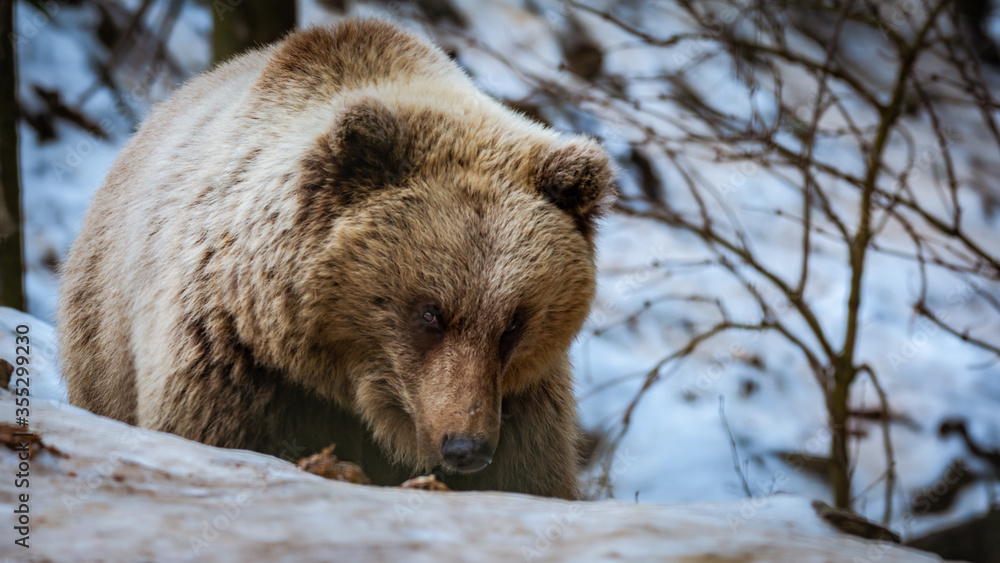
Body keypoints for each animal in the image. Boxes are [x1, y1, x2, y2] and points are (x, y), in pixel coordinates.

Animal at [57, 19, 614, 499]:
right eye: (429, 313)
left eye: (513, 323)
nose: (466, 446)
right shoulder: (232, 361)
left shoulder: (523, 407)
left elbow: (530, 479)